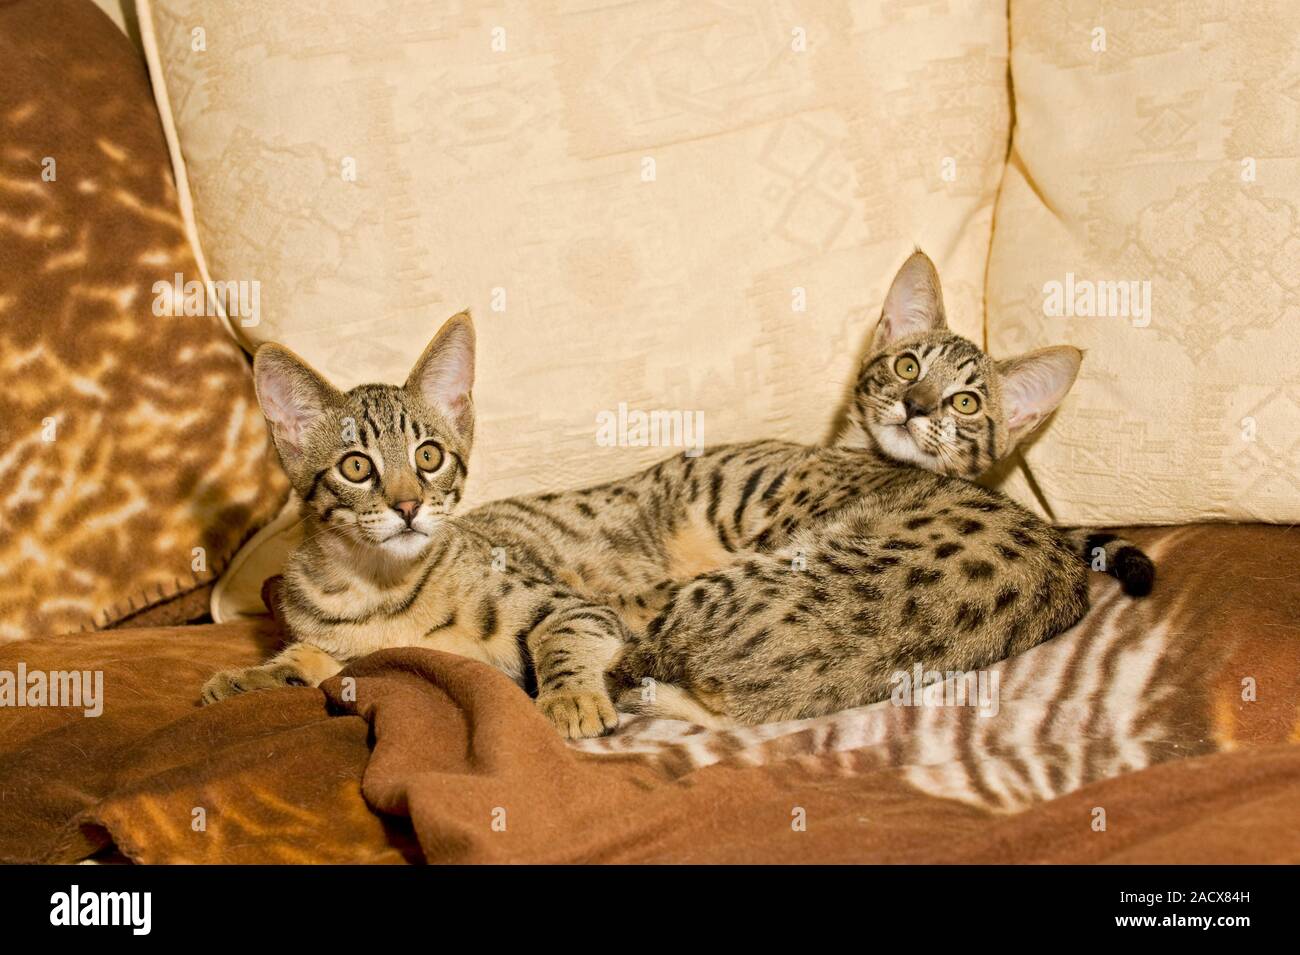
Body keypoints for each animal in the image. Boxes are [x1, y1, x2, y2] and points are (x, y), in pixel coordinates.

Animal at [202, 254, 1149, 738]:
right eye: (357, 467)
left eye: (428, 457)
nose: (405, 505)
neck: (378, 588)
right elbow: (306, 657)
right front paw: (248, 676)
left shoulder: (574, 607)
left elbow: (552, 643)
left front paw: (567, 696)